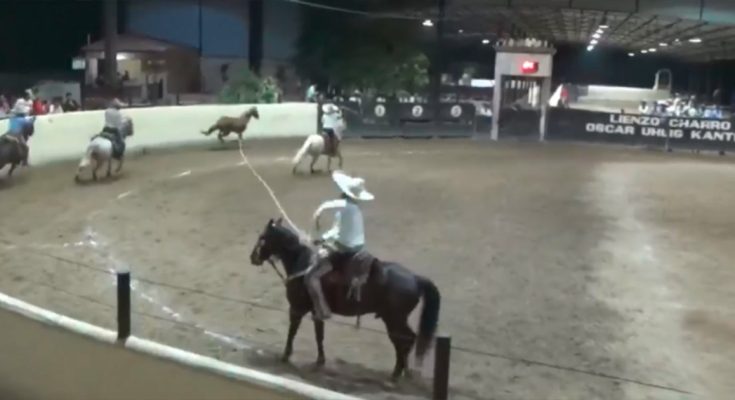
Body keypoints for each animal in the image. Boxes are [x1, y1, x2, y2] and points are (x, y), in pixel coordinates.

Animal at [247, 217, 442, 380]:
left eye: (263, 237)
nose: (253, 258)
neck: (302, 263)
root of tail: (415, 278)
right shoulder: (316, 312)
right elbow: (319, 336)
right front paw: (320, 361)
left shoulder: (296, 309)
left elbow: (292, 332)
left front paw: (285, 356)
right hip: (394, 320)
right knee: (405, 341)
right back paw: (402, 372)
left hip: (394, 320)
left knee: (405, 340)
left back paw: (396, 374)